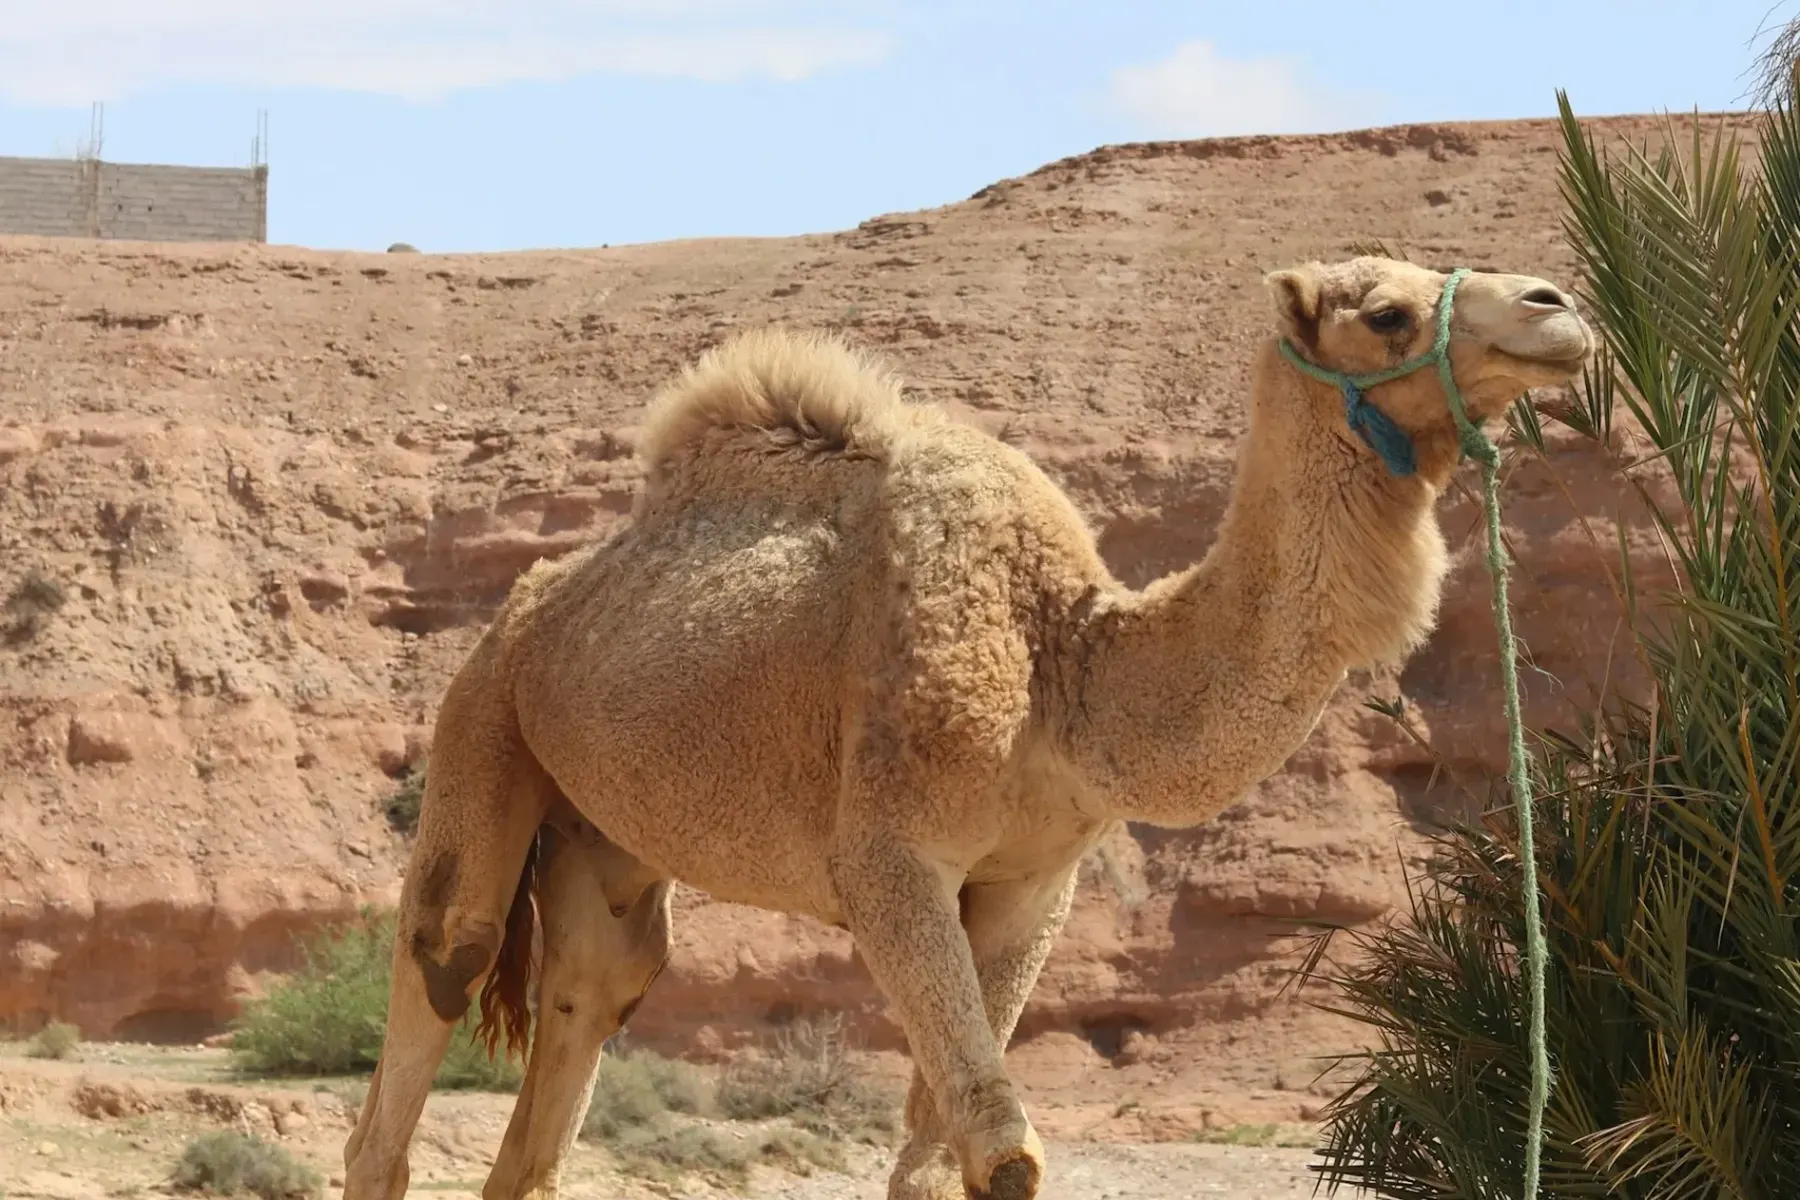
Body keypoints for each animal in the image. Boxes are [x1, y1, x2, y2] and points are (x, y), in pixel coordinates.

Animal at [339, 255, 1594, 1200]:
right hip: (484, 719)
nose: (1557, 307)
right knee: (436, 975)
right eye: (1386, 312)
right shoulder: (891, 856)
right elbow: (1004, 1156)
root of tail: (529, 605)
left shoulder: (1033, 882)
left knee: (591, 1001)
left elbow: (939, 1159)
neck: (1067, 663)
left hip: (604, 829)